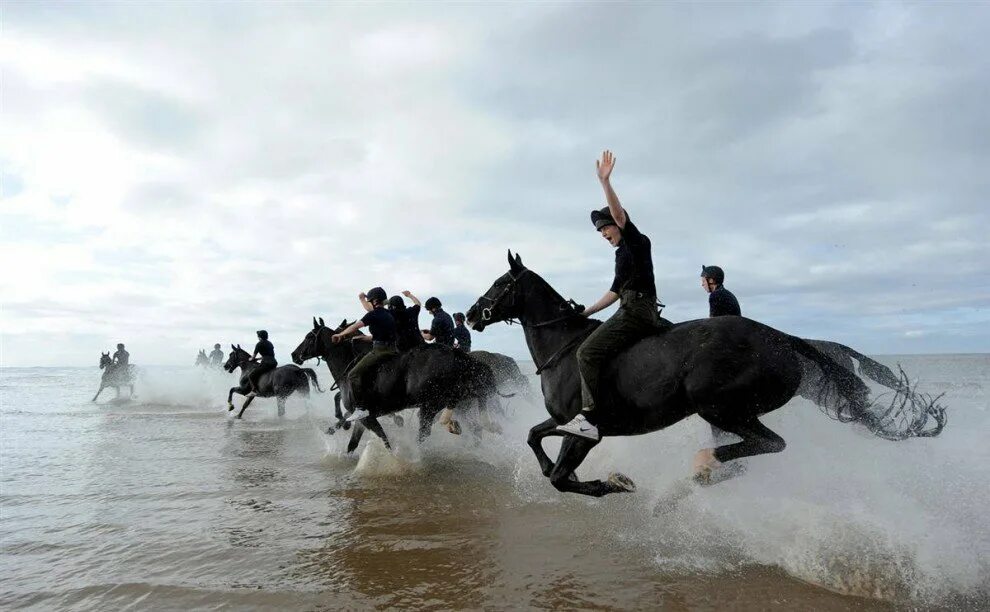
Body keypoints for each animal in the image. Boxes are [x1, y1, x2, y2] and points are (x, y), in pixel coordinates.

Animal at [286, 318, 504, 452]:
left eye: (308, 337)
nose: (294, 355)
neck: (349, 366)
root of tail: (458, 355)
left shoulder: (367, 417)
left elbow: (385, 441)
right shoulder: (363, 418)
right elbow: (352, 444)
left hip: (431, 406)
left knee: (427, 434)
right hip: (460, 405)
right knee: (475, 429)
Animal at [464, 253, 944, 498]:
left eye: (500, 283)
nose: (470, 315)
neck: (563, 348)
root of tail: (783, 339)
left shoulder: (583, 428)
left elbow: (561, 477)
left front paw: (611, 483)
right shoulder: (569, 425)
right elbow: (537, 442)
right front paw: (587, 476)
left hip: (718, 405)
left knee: (770, 444)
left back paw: (701, 468)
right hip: (725, 413)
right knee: (751, 452)